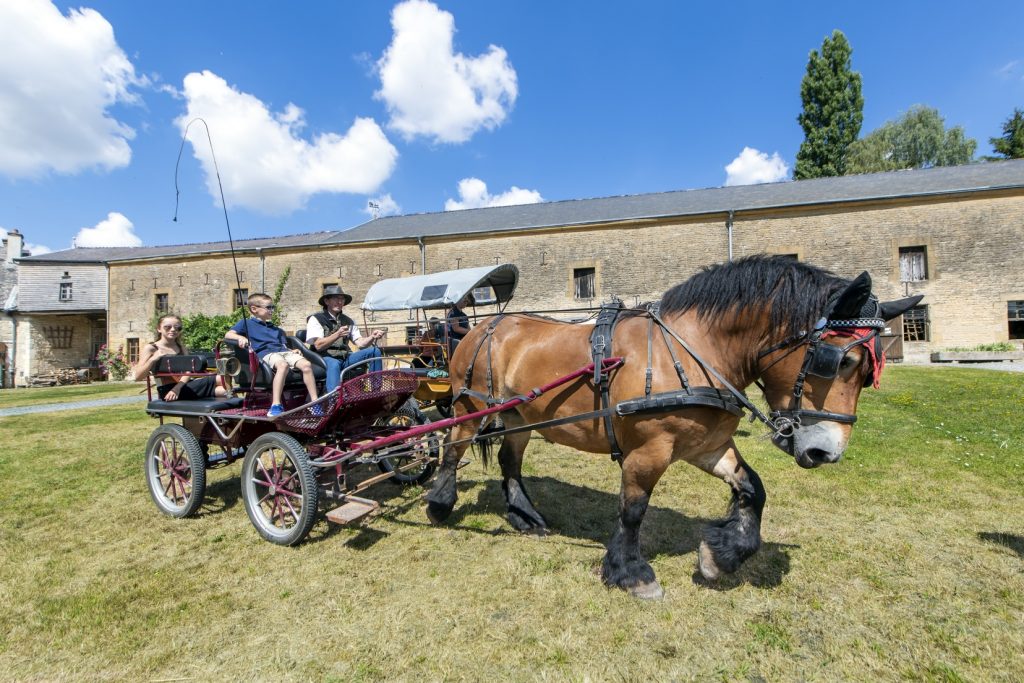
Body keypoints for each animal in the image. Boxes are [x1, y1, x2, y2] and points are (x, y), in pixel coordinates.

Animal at [424, 255, 922, 599]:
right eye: (842, 361)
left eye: (868, 373)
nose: (826, 453)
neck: (694, 350)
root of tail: (486, 325)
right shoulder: (649, 451)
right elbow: (632, 511)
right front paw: (631, 573)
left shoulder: (708, 445)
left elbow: (753, 488)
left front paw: (723, 555)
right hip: (470, 404)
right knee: (452, 449)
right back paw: (440, 505)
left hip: (519, 415)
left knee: (510, 461)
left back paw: (524, 515)